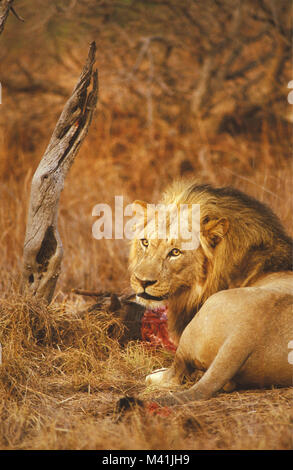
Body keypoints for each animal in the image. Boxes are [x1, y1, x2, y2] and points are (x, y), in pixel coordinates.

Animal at [128, 182, 292, 406]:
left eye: (175, 252)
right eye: (145, 243)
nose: (142, 282)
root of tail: (245, 334)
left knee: (174, 373)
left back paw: (156, 374)